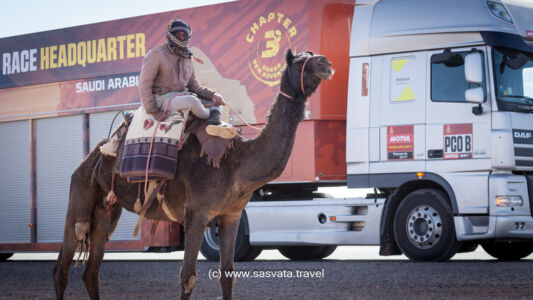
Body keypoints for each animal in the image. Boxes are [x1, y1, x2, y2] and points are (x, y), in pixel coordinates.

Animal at [51, 48, 332, 298]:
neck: (236, 163)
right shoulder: (197, 213)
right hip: (81, 191)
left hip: (106, 210)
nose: (325, 62)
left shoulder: (231, 215)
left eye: (312, 56)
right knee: (64, 260)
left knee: (91, 270)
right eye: (300, 61)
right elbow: (188, 277)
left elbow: (227, 275)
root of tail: (96, 153)